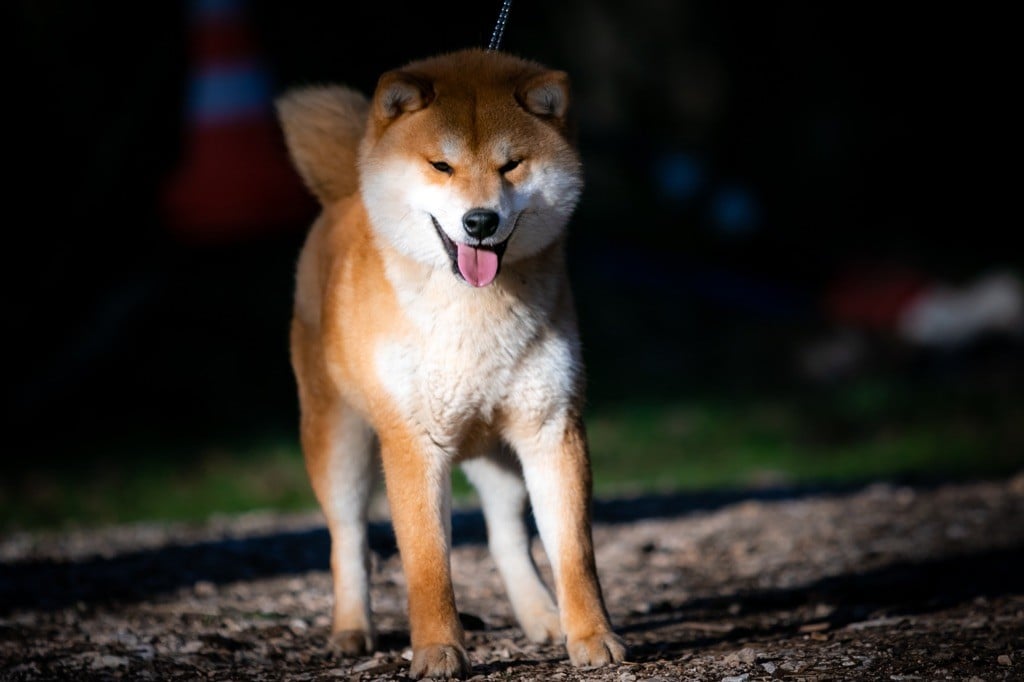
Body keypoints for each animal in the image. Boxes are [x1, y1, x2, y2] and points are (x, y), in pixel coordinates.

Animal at [275, 47, 627, 679]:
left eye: (511, 165)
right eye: (441, 165)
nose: (480, 221)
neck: (473, 312)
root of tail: (343, 199)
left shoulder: (552, 427)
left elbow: (574, 553)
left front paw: (592, 636)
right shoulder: (413, 442)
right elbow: (426, 563)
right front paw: (439, 650)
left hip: (498, 453)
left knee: (506, 537)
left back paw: (542, 616)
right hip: (339, 441)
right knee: (348, 540)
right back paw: (351, 629)